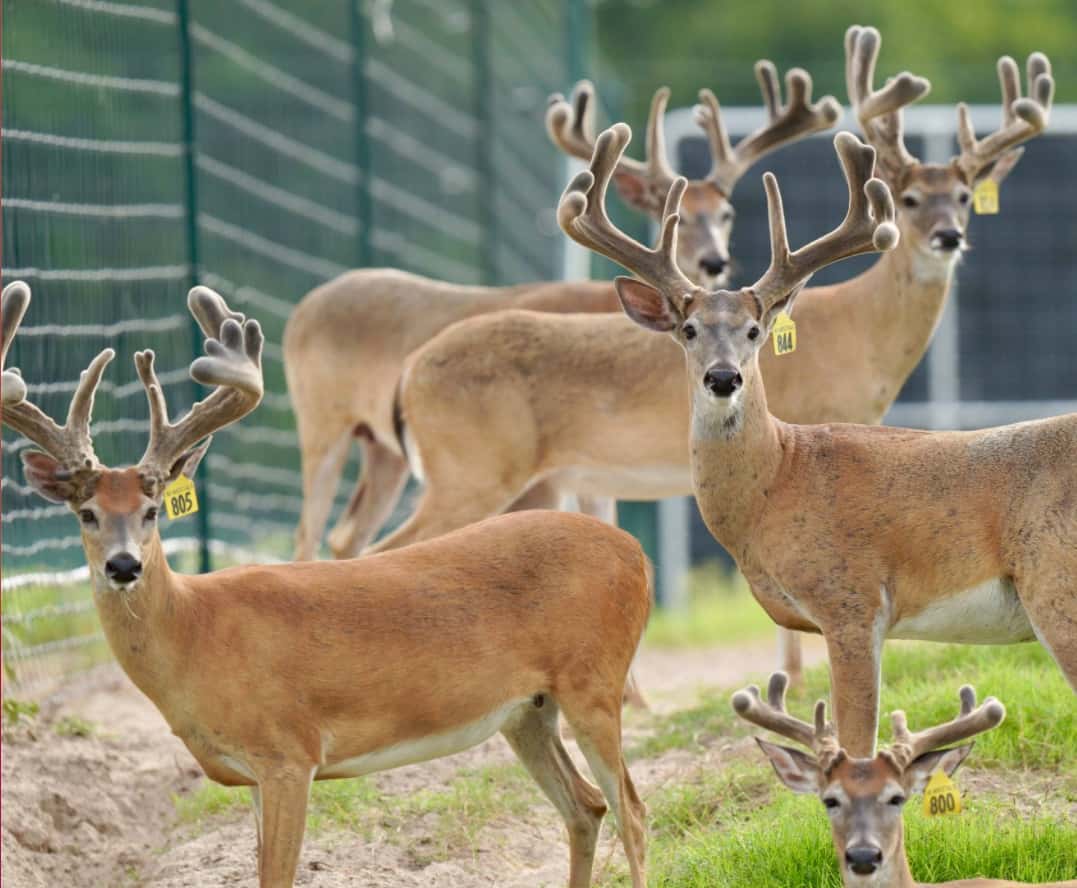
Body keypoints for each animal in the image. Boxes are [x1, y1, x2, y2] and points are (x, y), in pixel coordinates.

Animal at [1, 280, 653, 888]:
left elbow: (278, 875)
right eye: (86, 513)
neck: (196, 634)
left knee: (633, 811)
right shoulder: (253, 772)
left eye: (153, 510)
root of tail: (637, 555)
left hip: (594, 681)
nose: (123, 566)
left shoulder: (289, 751)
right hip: (528, 710)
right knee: (586, 807)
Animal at [284, 62, 840, 562]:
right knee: (319, 535)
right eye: (671, 216)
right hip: (341, 432)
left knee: (345, 537)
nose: (715, 261)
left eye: (726, 213)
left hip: (385, 453)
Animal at [368, 29, 1052, 687]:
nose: (948, 237)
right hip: (469, 470)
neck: (860, 334)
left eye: (964, 196)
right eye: (908, 201)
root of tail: (407, 373)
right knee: (377, 548)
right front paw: (793, 678)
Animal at [557, 115, 1076, 760]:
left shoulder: (851, 601)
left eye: (755, 330)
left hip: (1057, 588)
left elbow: (857, 745)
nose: (723, 377)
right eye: (688, 328)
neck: (778, 480)